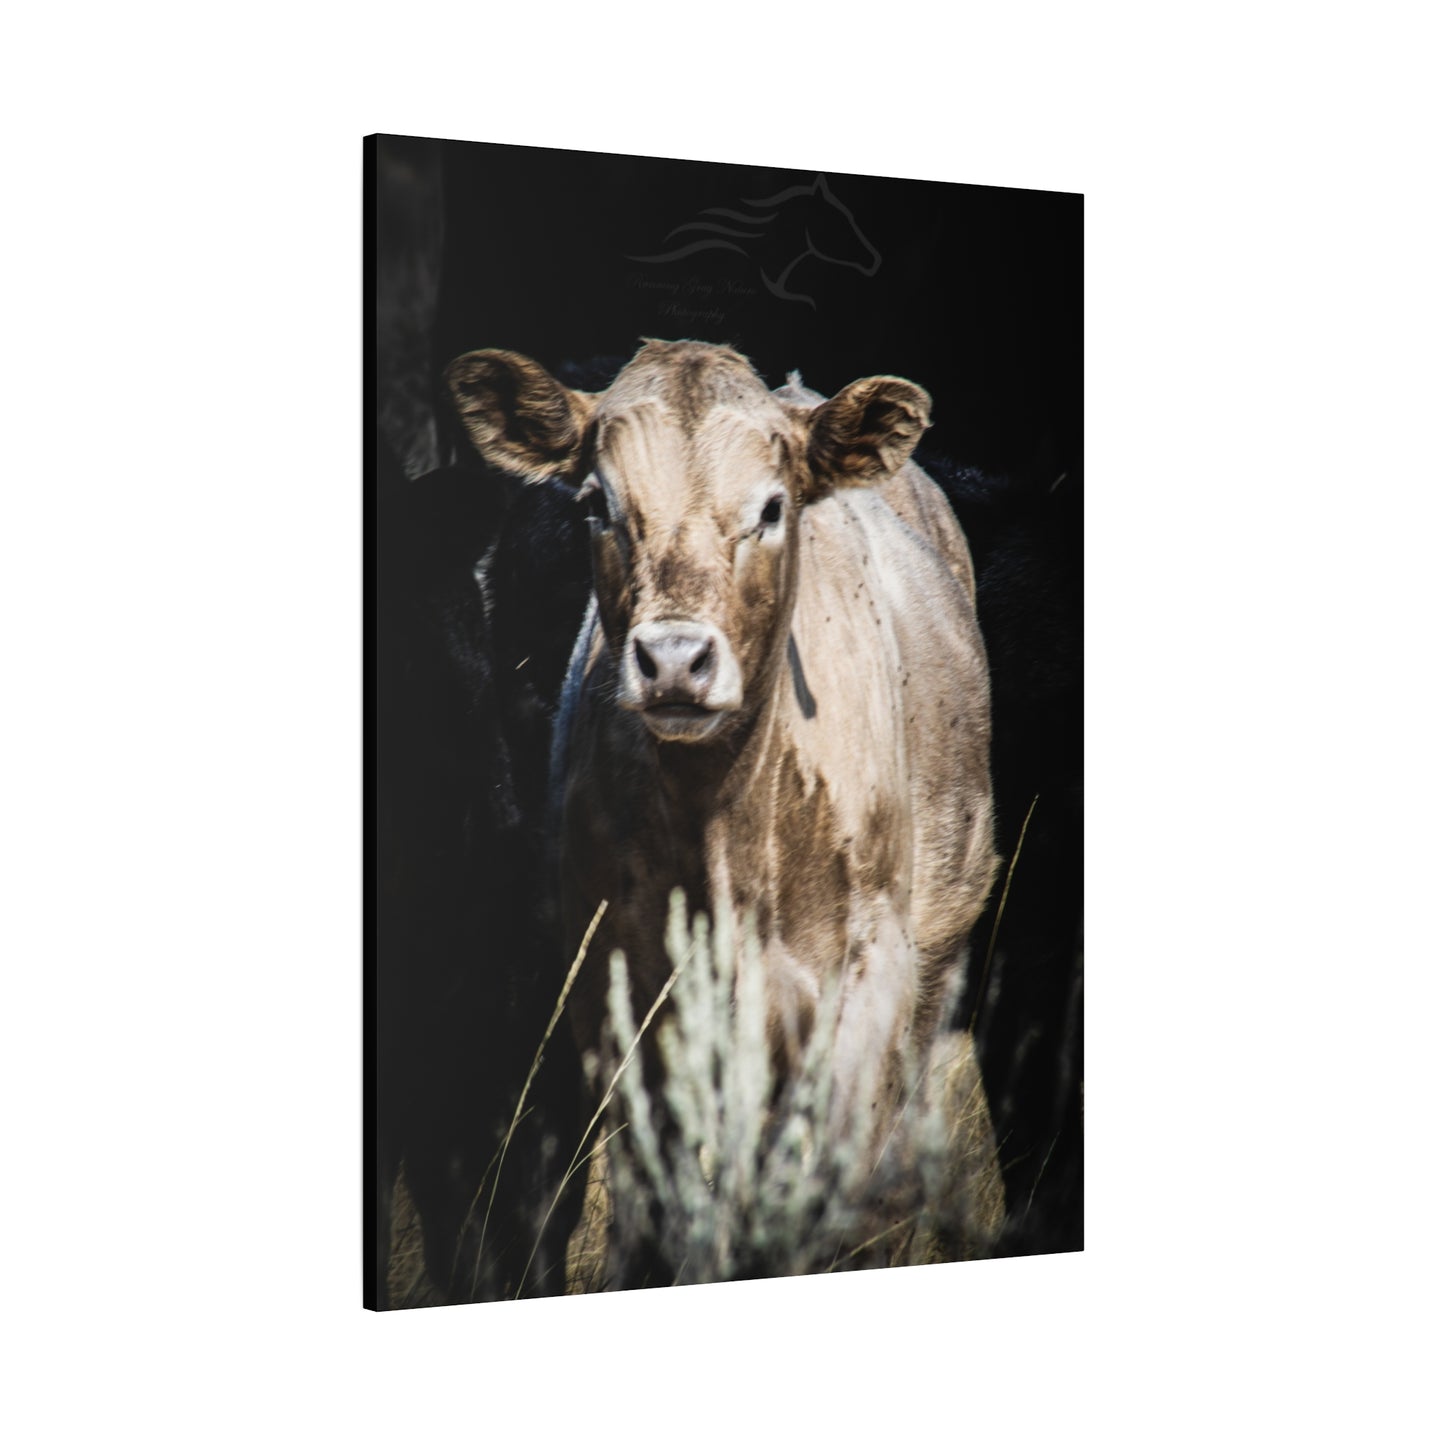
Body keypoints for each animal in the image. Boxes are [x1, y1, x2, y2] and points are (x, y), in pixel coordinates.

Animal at [445, 339, 1001, 1270]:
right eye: (598, 503)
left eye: (771, 507)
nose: (674, 658)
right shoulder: (614, 996)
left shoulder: (864, 978)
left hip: (933, 958)